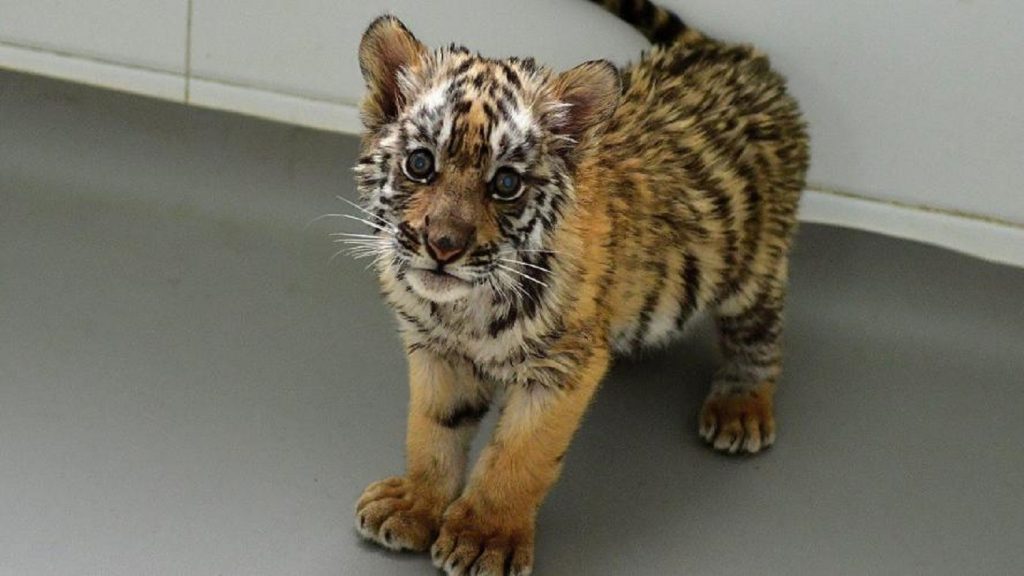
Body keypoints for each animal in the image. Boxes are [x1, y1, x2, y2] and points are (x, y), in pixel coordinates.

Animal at [346, 1, 809, 574]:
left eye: (506, 184)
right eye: (420, 164)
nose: (443, 245)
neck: (464, 308)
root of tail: (729, 52)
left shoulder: (560, 368)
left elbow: (519, 457)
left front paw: (485, 536)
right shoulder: (437, 351)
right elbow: (433, 430)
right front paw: (415, 503)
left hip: (755, 262)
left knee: (760, 332)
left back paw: (740, 408)